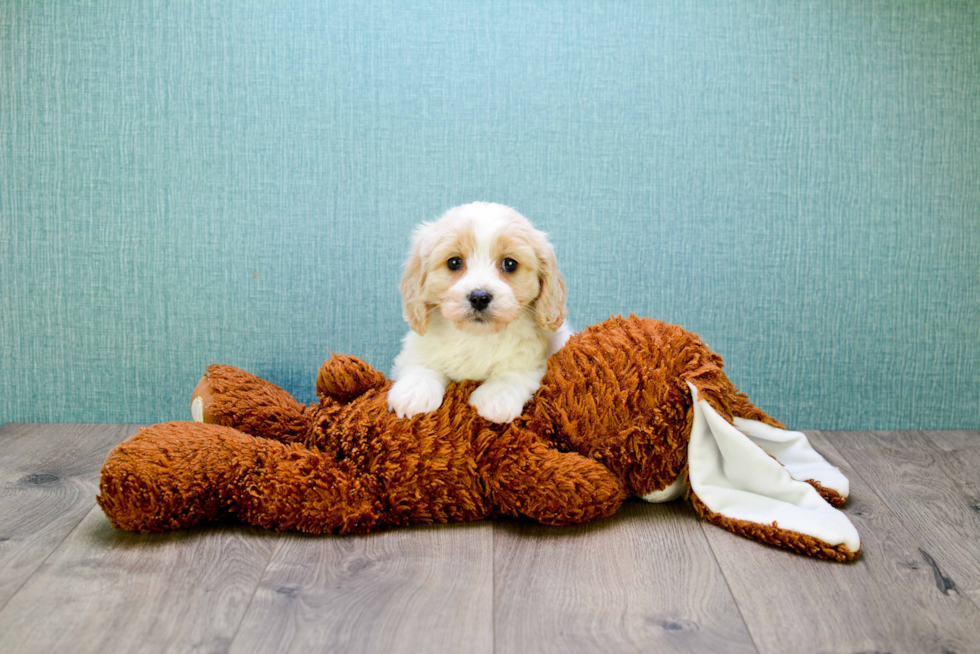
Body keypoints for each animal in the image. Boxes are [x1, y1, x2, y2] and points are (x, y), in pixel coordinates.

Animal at [386, 202, 572, 422]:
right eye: (454, 262)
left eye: (510, 264)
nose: (479, 297)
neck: (477, 336)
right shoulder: (415, 350)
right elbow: (421, 364)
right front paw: (414, 392)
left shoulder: (535, 358)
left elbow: (515, 371)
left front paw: (497, 397)